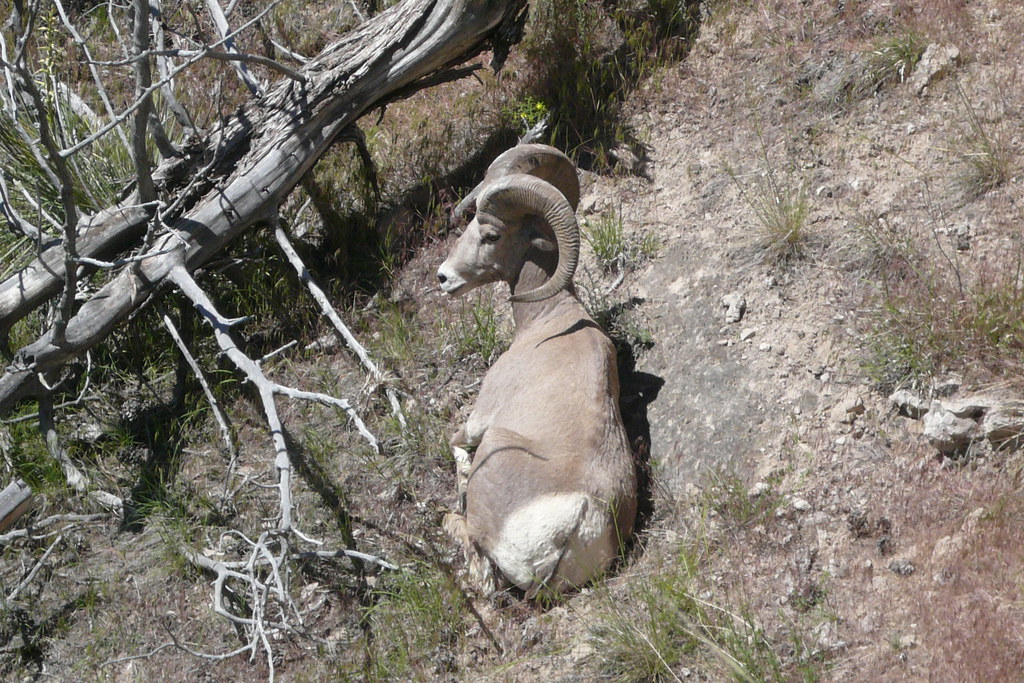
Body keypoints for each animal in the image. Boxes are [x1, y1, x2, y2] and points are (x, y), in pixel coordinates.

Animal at [436, 144, 636, 597]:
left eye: (491, 235)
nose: (443, 278)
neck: (548, 320)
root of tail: (579, 522)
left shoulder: (478, 420)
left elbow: (453, 442)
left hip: (494, 450)